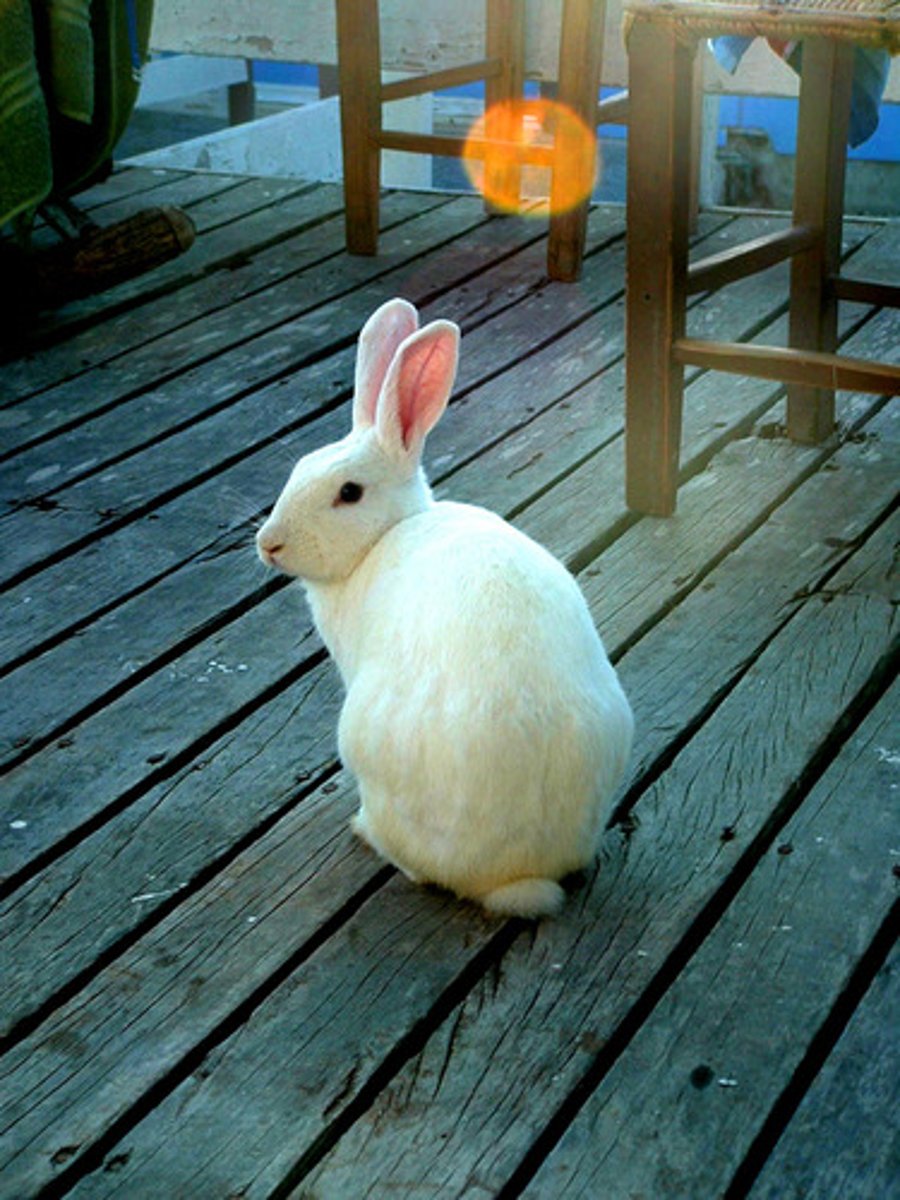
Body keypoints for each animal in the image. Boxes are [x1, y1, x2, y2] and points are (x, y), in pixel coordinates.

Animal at [257, 297, 633, 918]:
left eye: (349, 493)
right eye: (299, 468)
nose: (269, 545)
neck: (387, 534)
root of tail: (516, 876)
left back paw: (363, 829)